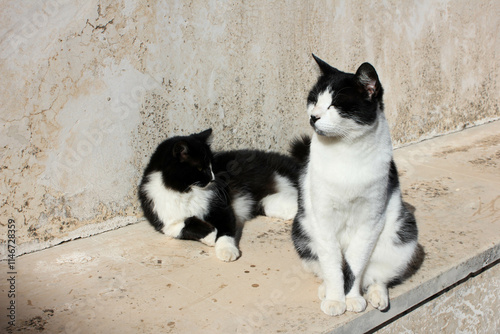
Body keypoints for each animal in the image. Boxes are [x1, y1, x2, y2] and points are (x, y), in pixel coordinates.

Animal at [139, 129, 298, 262]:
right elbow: (187, 225)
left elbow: (224, 233)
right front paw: (210, 237)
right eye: (200, 168)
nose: (213, 178)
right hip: (268, 202)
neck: (186, 191)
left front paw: (225, 250)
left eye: (211, 166)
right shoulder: (166, 223)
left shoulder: (222, 209)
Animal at [292, 54, 424, 316]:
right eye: (313, 100)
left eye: (334, 105)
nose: (313, 116)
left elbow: (355, 265)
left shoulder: (370, 220)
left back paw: (376, 295)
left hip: (403, 233)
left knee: (376, 277)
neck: (345, 151)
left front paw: (351, 299)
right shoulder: (323, 218)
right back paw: (326, 290)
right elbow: (332, 265)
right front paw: (335, 299)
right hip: (302, 232)